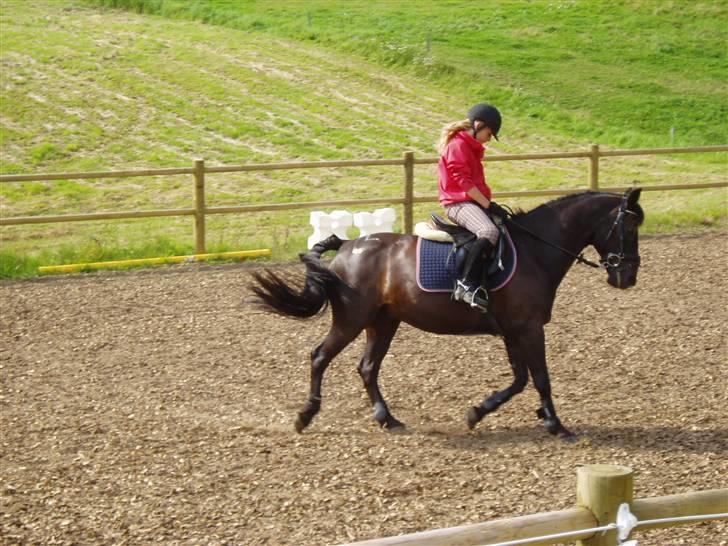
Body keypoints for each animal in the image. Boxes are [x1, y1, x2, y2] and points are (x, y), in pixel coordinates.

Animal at [252, 187, 644, 438]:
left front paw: (478, 412)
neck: (536, 251)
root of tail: (348, 245)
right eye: (629, 226)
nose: (627, 277)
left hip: (384, 321)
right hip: (352, 319)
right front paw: (556, 425)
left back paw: (387, 419)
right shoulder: (529, 328)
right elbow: (540, 378)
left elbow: (520, 379)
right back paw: (305, 416)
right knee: (320, 356)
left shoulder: (515, 329)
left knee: (367, 368)